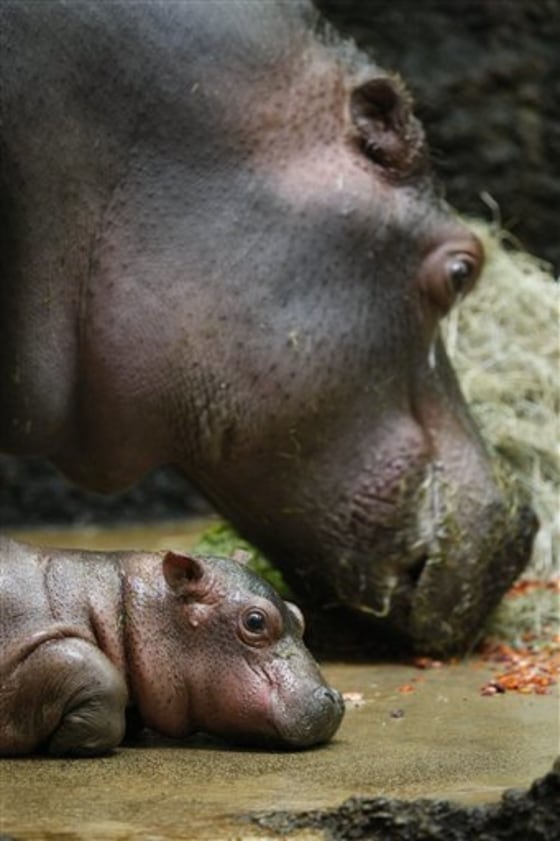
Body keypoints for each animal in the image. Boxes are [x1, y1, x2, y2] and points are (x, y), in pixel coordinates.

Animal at [0, 537, 344, 756]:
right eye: (256, 621)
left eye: (297, 614)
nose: (333, 698)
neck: (111, 598)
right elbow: (96, 672)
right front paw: (63, 744)